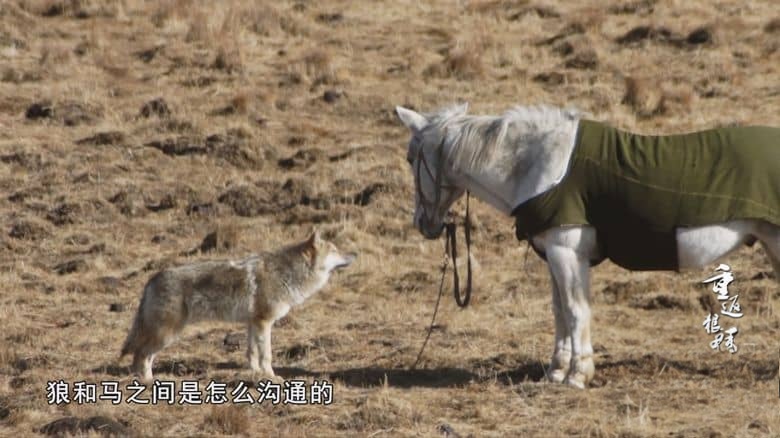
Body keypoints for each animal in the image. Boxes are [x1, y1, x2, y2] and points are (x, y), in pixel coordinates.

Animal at [120, 230, 356, 382]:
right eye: (335, 250)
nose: (354, 254)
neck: (289, 274)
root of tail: (153, 278)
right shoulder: (264, 322)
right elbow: (266, 354)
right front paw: (272, 376)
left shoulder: (252, 323)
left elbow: (251, 353)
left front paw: (254, 374)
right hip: (167, 334)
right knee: (141, 354)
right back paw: (148, 382)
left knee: (140, 355)